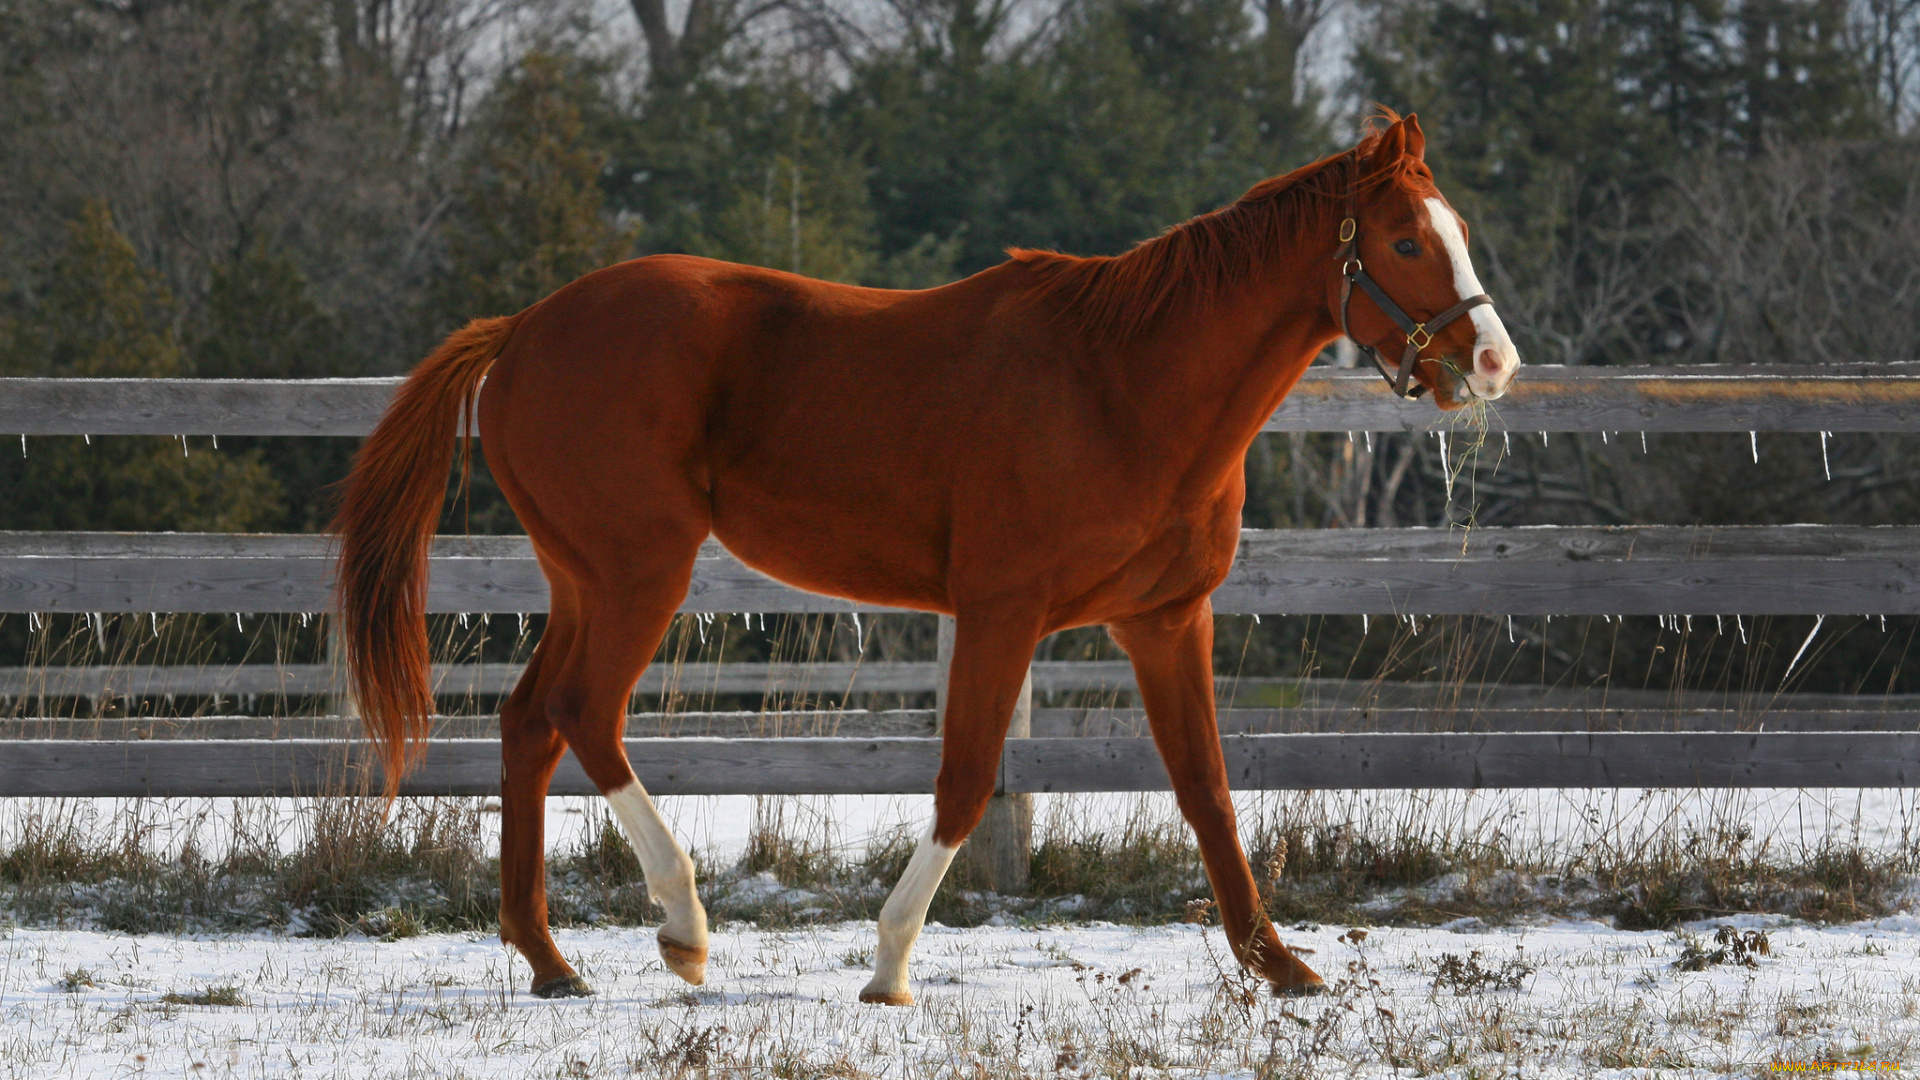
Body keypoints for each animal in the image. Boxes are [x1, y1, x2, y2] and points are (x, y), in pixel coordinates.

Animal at [330, 111, 1512, 999]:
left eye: (1455, 228)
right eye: (1407, 242)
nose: (1494, 361)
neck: (1121, 385)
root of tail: (524, 328)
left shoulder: (1166, 619)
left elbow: (1208, 790)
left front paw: (1283, 967)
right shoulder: (1002, 611)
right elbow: (965, 779)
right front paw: (891, 967)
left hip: (586, 577)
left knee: (530, 722)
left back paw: (550, 959)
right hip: (638, 573)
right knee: (585, 715)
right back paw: (684, 927)